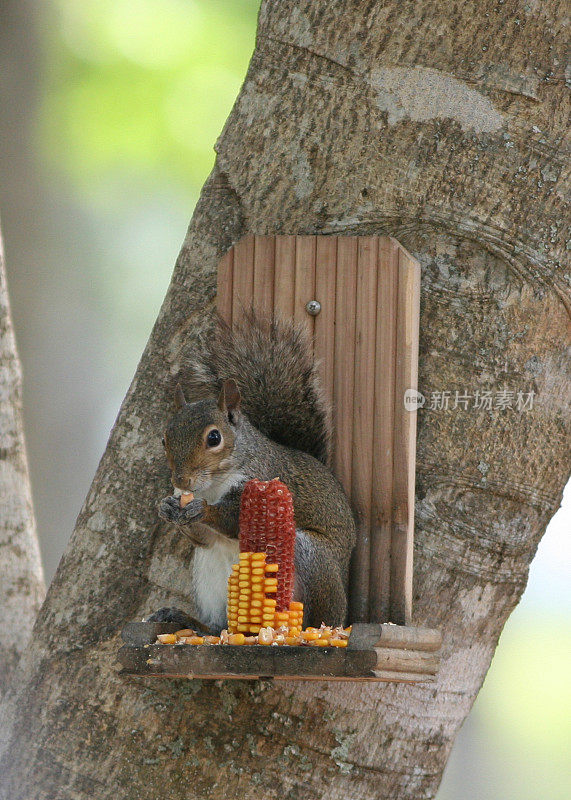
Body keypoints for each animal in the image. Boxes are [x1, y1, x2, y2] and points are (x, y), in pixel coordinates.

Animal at [151, 316, 358, 636]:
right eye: (164, 438)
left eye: (214, 437)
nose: (181, 481)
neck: (212, 484)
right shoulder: (204, 539)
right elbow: (202, 538)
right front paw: (166, 507)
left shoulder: (262, 481)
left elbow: (233, 520)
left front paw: (203, 510)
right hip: (208, 575)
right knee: (220, 626)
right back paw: (194, 623)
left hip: (313, 559)